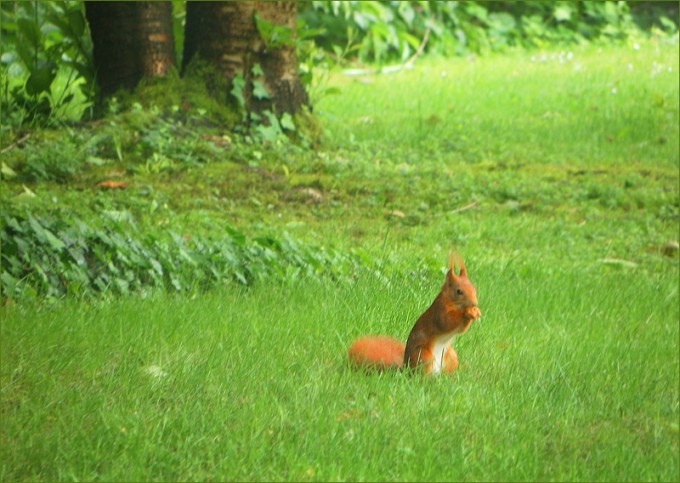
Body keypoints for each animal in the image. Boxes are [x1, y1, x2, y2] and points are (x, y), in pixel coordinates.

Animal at [348, 253, 481, 375]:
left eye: (474, 288)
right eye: (459, 291)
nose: (474, 303)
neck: (452, 303)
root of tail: (405, 368)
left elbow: (460, 329)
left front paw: (475, 312)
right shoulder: (439, 311)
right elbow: (446, 322)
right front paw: (467, 313)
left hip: (451, 356)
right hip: (423, 356)